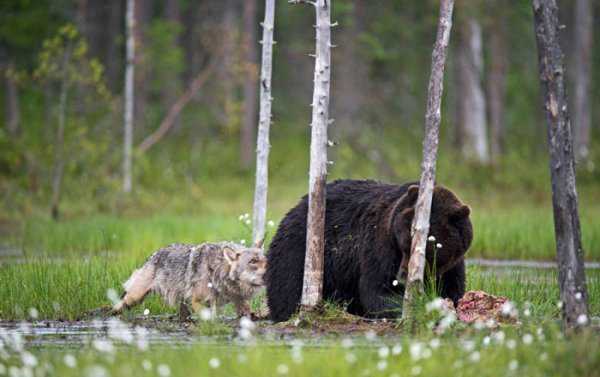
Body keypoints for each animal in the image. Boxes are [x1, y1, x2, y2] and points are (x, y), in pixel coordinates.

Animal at [264, 179, 472, 320]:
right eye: (404, 244)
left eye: (427, 251)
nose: (402, 277)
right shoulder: (381, 244)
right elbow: (377, 289)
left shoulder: (451, 264)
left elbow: (452, 289)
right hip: (300, 248)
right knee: (288, 285)